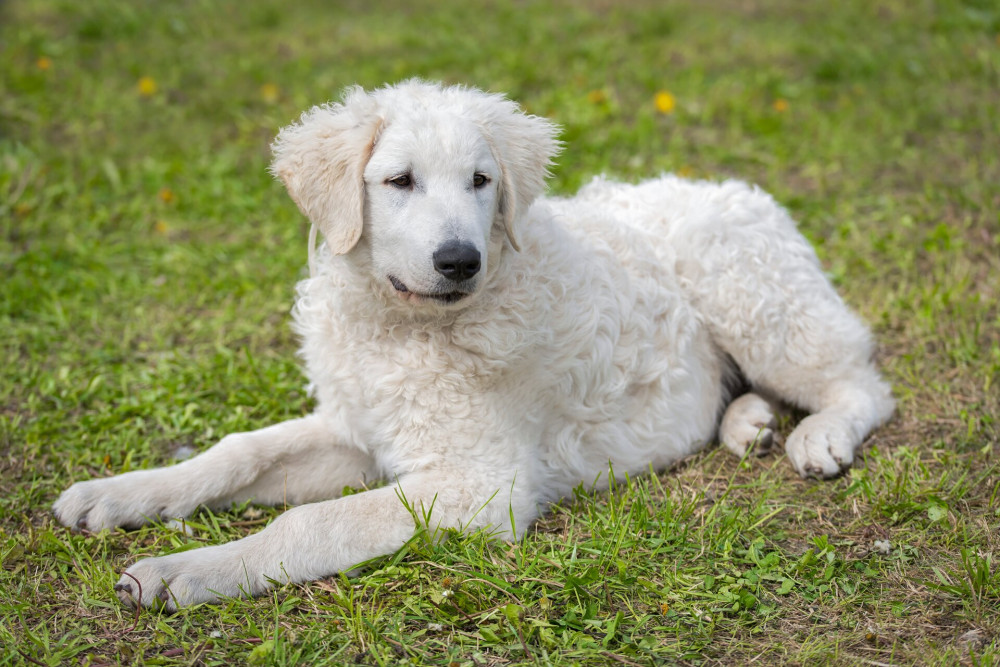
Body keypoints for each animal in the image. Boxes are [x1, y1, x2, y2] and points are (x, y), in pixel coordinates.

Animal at [50, 79, 896, 612]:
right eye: (398, 181)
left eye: (482, 181)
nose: (460, 260)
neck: (404, 329)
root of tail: (735, 187)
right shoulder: (359, 429)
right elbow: (237, 452)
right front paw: (121, 494)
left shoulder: (481, 484)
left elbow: (313, 524)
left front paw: (183, 572)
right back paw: (748, 424)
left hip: (752, 299)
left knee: (864, 383)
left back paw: (817, 436)